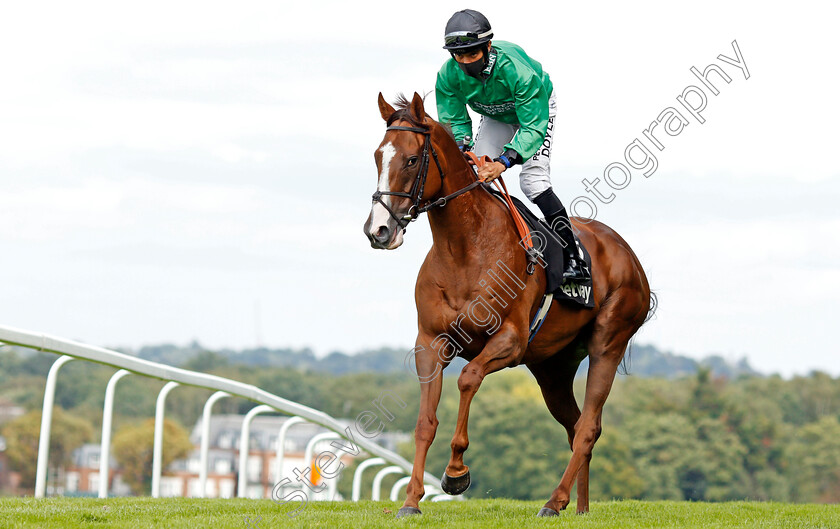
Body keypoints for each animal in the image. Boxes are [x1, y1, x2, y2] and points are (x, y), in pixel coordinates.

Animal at [364, 92, 652, 516]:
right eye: (377, 156)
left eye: (413, 159)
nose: (379, 231)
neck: (465, 248)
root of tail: (628, 255)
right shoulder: (430, 342)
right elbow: (425, 422)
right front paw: (412, 500)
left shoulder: (510, 342)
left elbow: (468, 379)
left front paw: (456, 473)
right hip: (552, 367)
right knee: (576, 425)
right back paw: (580, 507)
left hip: (608, 343)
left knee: (589, 427)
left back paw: (554, 501)